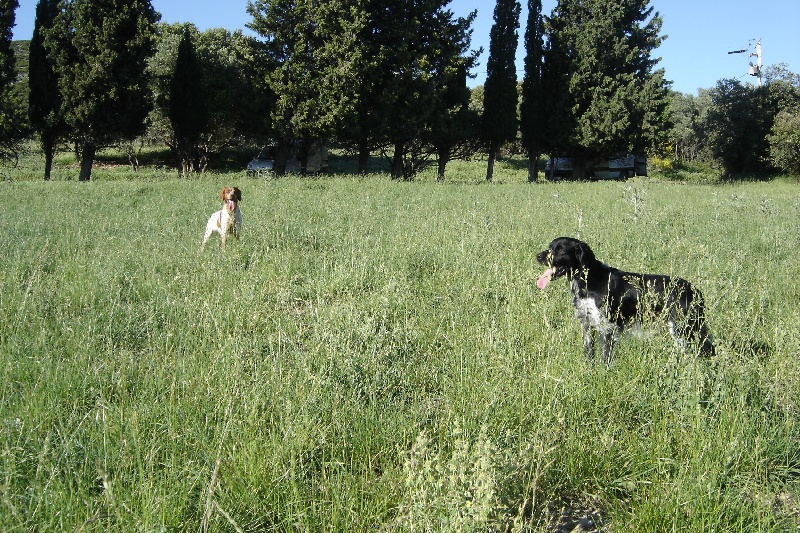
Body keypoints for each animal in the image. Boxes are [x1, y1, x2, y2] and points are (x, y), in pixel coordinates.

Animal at [536, 237, 714, 364]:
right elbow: (589, 353)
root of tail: (695, 290)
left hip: (683, 329)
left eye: (560, 250)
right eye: (550, 247)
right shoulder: (586, 324)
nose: (538, 256)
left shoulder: (608, 327)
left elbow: (605, 358)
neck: (588, 280)